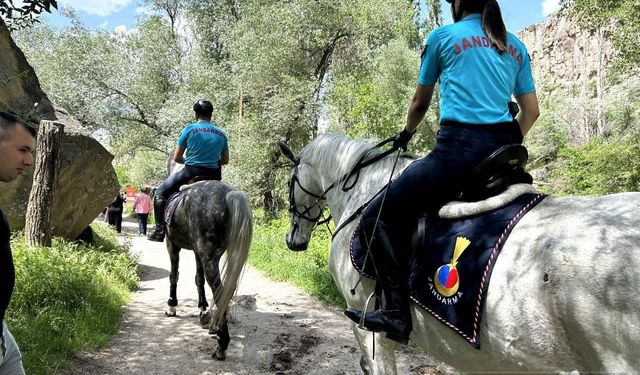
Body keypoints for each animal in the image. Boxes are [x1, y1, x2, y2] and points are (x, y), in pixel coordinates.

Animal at [164, 160, 251, 360]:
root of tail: (229, 195)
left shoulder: (172, 244)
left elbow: (174, 274)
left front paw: (172, 306)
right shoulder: (198, 252)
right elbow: (198, 278)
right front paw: (203, 310)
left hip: (210, 257)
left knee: (219, 290)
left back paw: (222, 344)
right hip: (217, 254)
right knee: (227, 289)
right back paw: (215, 326)